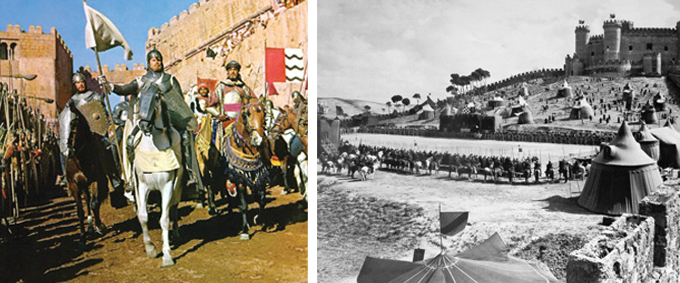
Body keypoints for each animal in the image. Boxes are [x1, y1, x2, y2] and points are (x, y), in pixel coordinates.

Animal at [125, 84, 183, 268]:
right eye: (139, 96)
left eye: (156, 97)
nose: (143, 124)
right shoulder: (142, 187)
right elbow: (143, 217)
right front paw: (150, 248)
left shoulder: (168, 186)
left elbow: (164, 219)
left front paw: (167, 256)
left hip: (177, 188)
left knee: (174, 209)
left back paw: (176, 234)